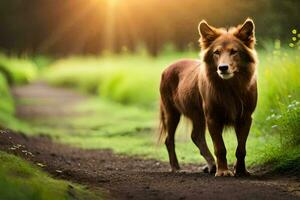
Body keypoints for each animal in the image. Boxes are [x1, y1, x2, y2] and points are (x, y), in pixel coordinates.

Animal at [159, 19, 258, 177]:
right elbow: (220, 147)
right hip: (172, 112)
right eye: (216, 52)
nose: (223, 68)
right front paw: (223, 171)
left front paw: (241, 170)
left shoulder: (246, 117)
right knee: (169, 140)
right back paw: (176, 167)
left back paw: (211, 165)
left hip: (197, 114)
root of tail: (167, 67)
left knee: (196, 136)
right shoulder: (212, 117)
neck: (230, 87)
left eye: (234, 51)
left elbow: (241, 149)